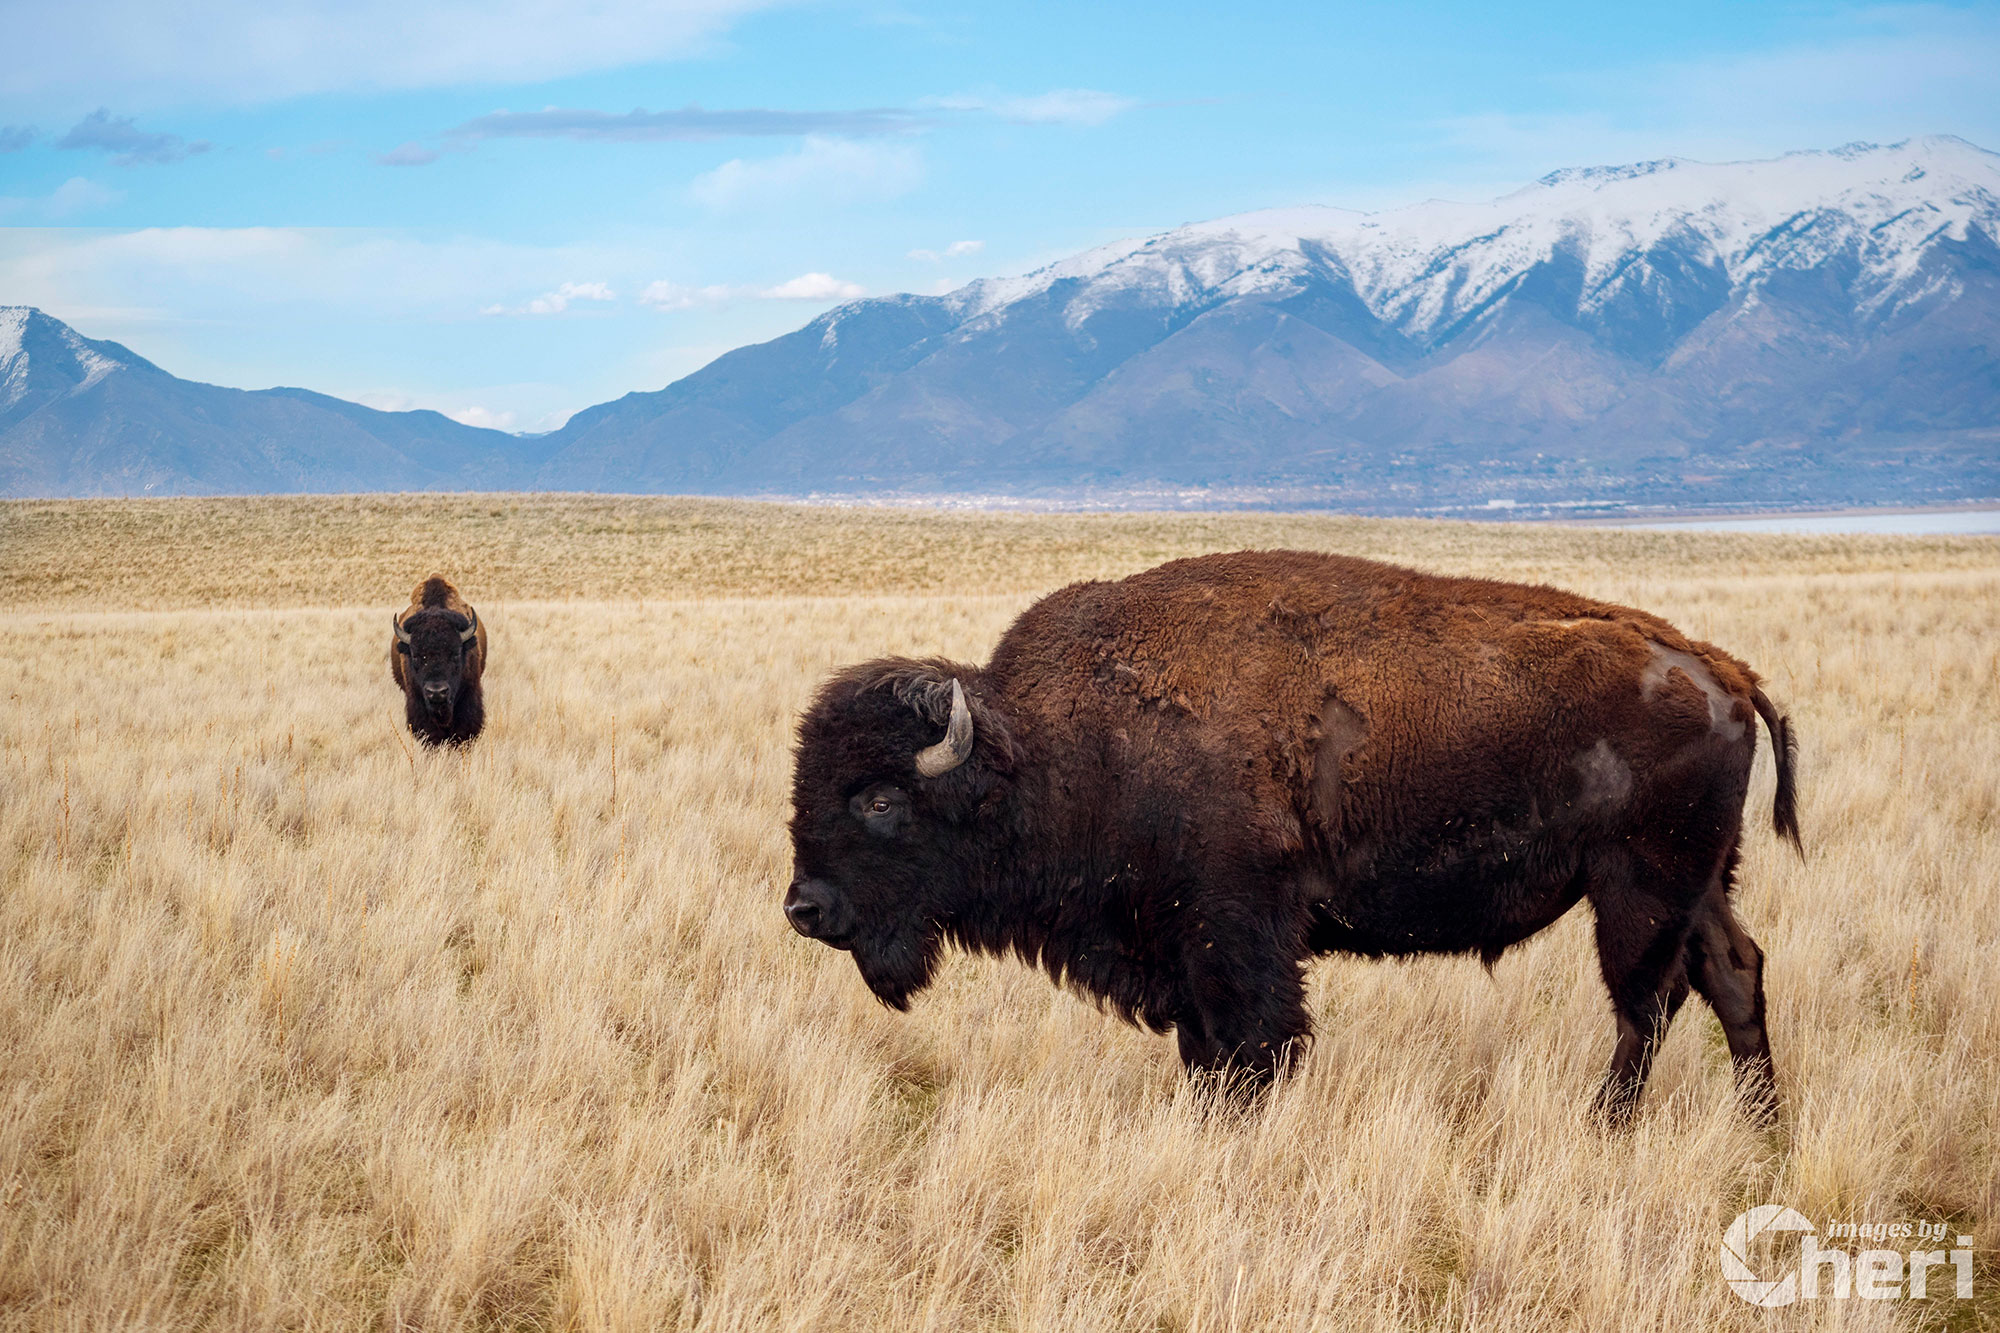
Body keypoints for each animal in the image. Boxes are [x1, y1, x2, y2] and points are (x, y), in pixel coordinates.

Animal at [788, 548, 1808, 1120]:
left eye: (878, 800)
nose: (805, 908)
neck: (1053, 748)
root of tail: (1724, 669)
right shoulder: (1182, 954)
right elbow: (1205, 1052)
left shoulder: (1235, 937)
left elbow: (1256, 1046)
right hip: (1701, 881)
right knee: (1733, 973)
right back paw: (1762, 1125)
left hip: (1637, 887)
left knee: (1647, 1003)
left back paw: (1606, 1126)